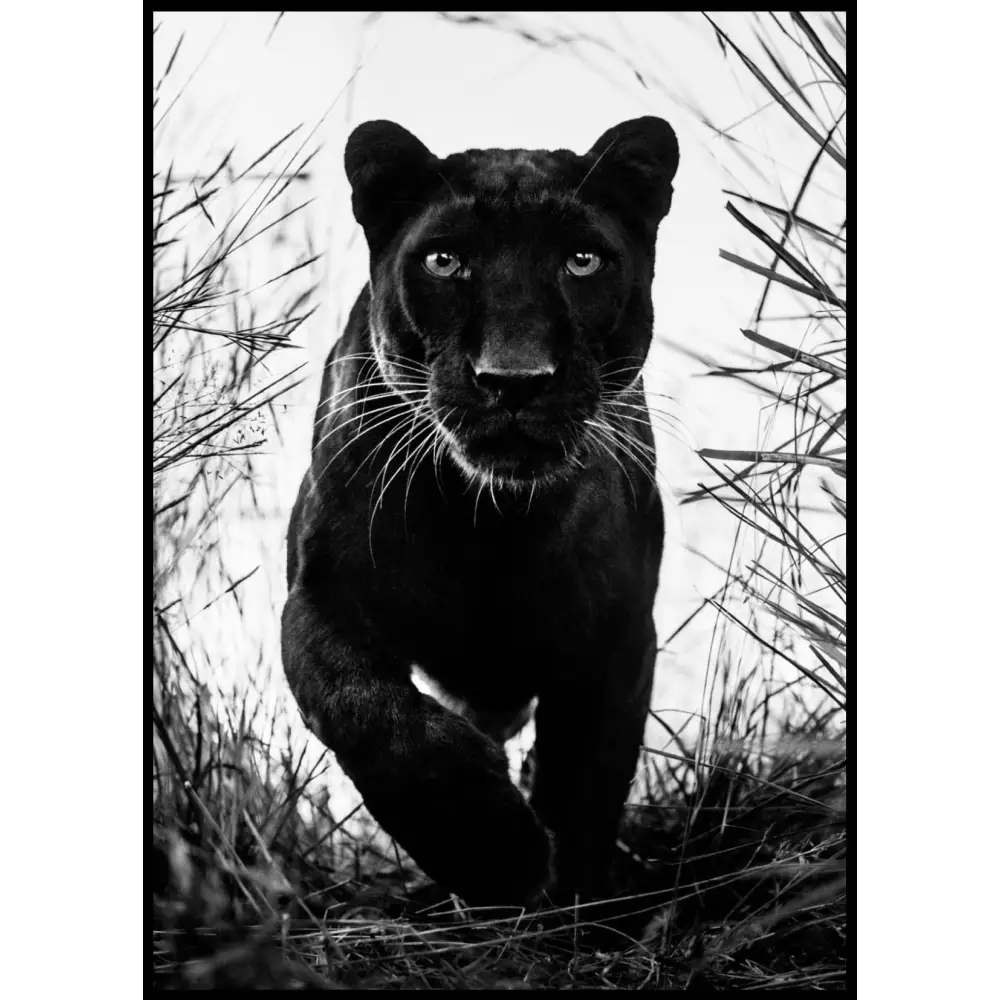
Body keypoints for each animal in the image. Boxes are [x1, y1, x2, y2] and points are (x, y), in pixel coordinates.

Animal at [281, 116, 679, 907]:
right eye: (444, 261)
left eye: (583, 261)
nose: (514, 378)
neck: (488, 523)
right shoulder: (320, 593)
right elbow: (366, 709)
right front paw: (492, 853)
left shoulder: (617, 630)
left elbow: (587, 774)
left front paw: (571, 898)